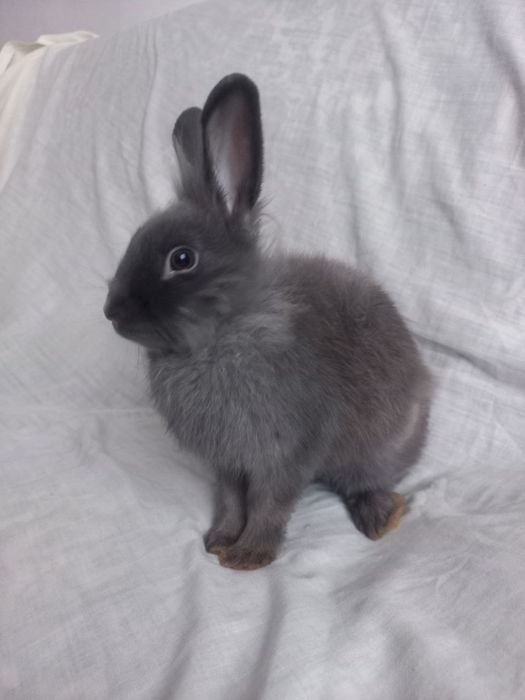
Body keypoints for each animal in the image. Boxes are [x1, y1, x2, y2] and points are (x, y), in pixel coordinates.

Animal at [104, 73, 432, 571]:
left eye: (182, 259)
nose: (112, 312)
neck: (223, 335)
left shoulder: (285, 454)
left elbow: (268, 504)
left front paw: (249, 556)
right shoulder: (229, 462)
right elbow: (231, 500)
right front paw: (219, 541)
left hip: (378, 448)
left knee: (367, 479)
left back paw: (380, 517)